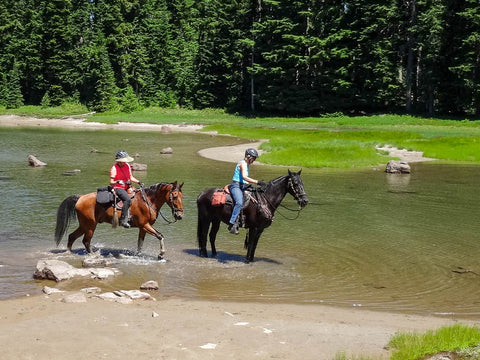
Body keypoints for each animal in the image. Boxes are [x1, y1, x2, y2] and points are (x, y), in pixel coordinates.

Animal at [54, 181, 184, 260]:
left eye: (182, 196)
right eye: (175, 196)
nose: (180, 215)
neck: (147, 200)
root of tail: (80, 197)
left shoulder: (143, 228)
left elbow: (140, 243)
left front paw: (138, 255)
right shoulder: (145, 225)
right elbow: (160, 236)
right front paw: (161, 254)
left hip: (84, 225)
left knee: (72, 236)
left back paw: (69, 252)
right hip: (90, 225)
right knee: (86, 241)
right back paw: (93, 255)